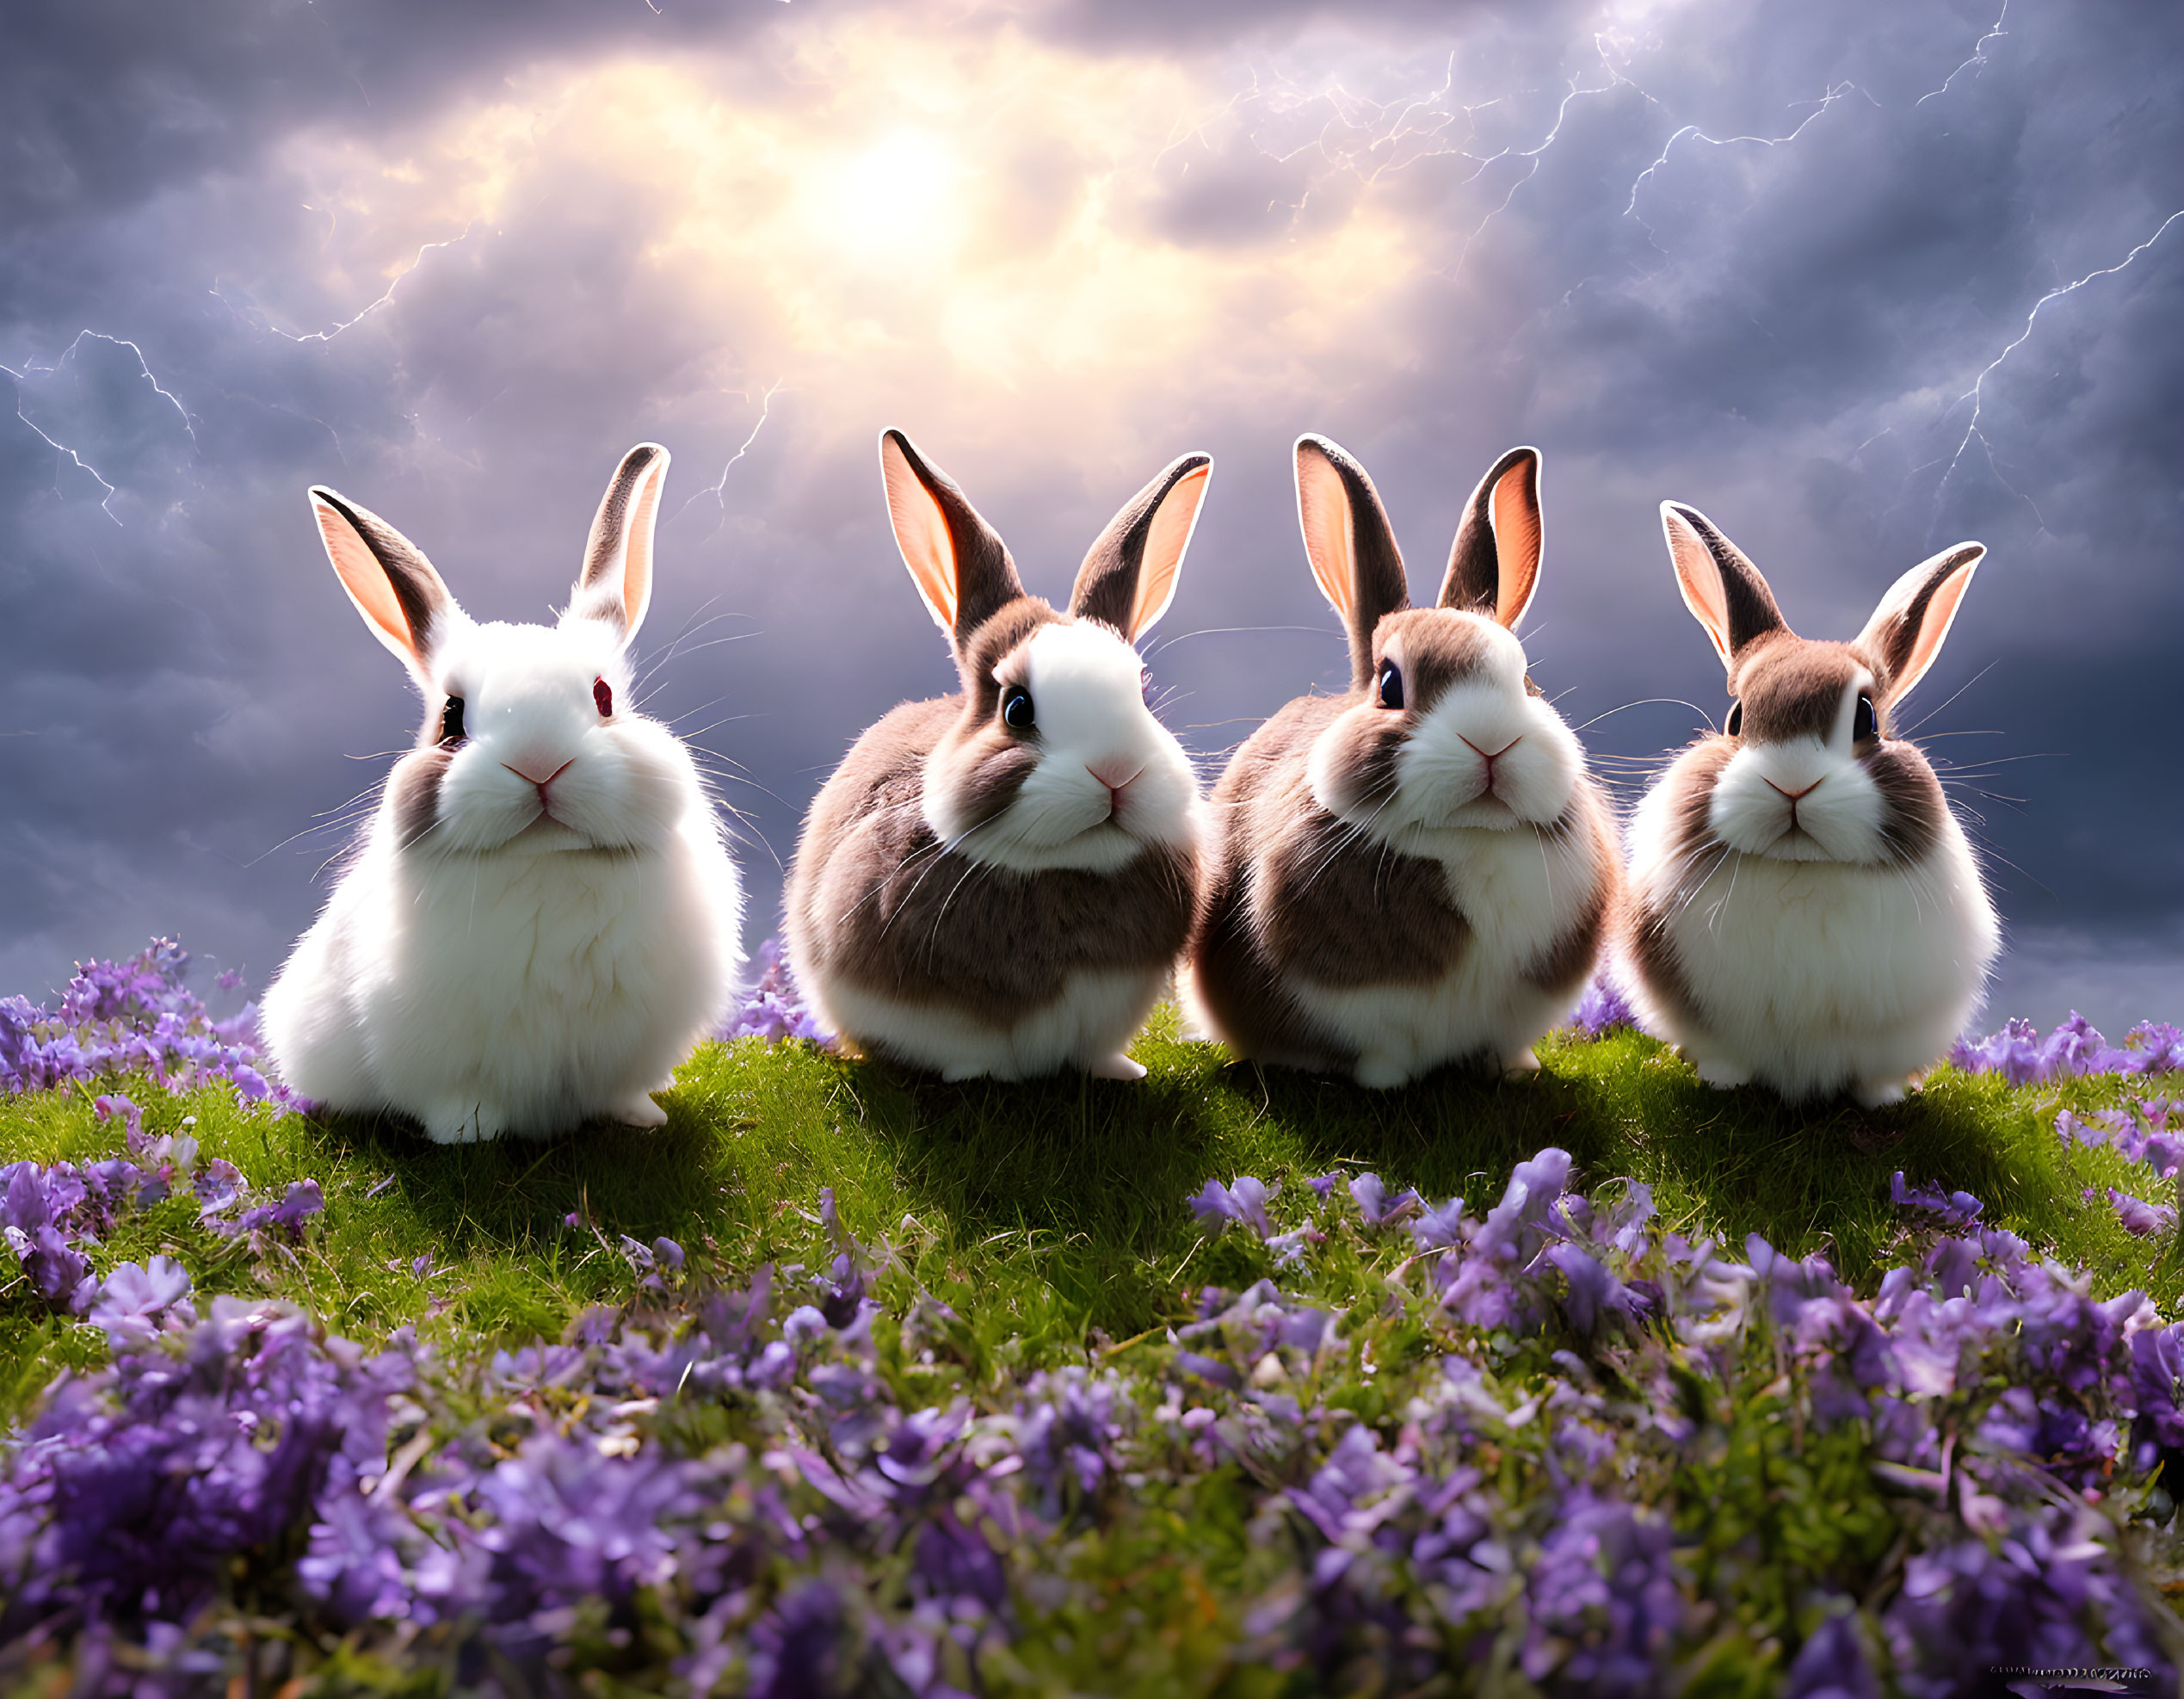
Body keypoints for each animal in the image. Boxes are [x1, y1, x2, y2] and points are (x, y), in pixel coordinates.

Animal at [786, 429, 1223, 1078]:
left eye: (1142, 694)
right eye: (1017, 708)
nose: (1116, 773)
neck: (1066, 867)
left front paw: (1122, 1071)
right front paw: (977, 1074)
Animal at [1179, 429, 1625, 1078]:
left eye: (1527, 681)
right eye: (1390, 685)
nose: (1491, 742)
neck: (1467, 839)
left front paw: (1513, 1069)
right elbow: (1378, 1051)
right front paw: (1381, 1080)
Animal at [1625, 502, 2000, 1104]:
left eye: (1867, 719)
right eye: (1735, 719)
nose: (1792, 783)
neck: (1802, 867)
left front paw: (1884, 1099)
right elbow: (1724, 1056)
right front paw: (1722, 1081)